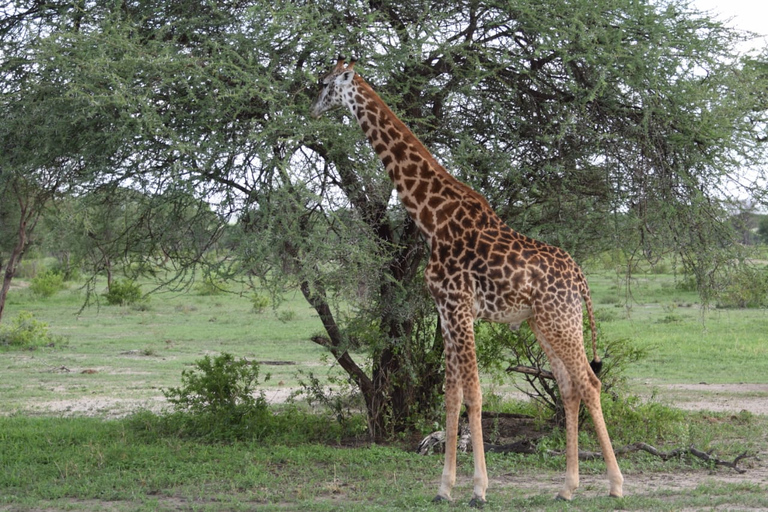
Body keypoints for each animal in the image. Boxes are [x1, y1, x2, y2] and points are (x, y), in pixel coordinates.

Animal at [308, 55, 620, 504]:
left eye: (325, 83)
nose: (313, 109)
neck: (432, 218)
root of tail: (581, 279)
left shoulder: (458, 306)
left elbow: (473, 393)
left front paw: (479, 489)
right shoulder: (445, 310)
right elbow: (451, 394)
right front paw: (444, 488)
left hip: (559, 321)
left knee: (590, 383)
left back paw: (616, 485)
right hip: (547, 323)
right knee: (569, 387)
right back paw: (567, 488)